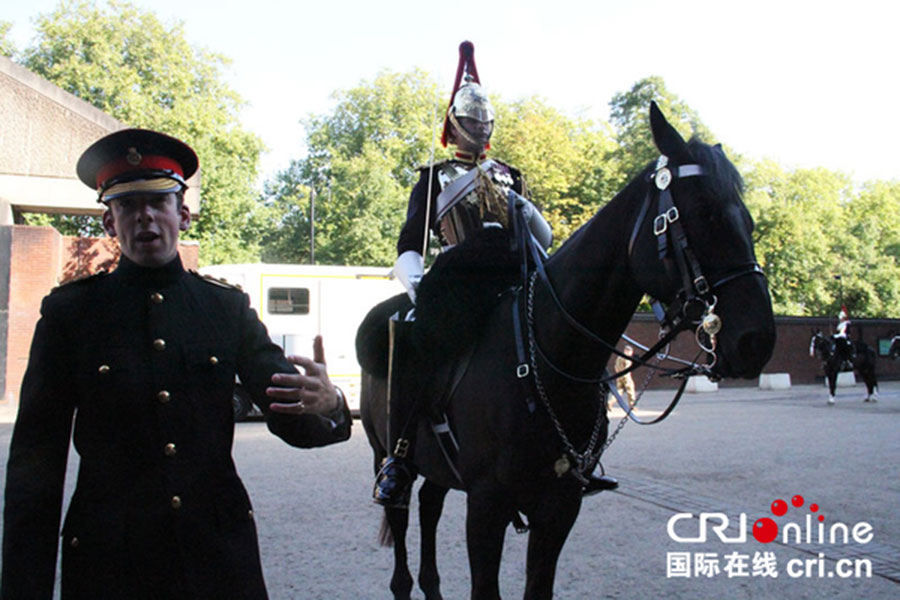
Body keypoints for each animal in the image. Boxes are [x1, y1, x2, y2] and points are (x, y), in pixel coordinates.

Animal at [358, 104, 772, 600]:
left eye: (747, 219)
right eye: (702, 212)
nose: (756, 338)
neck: (548, 357)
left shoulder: (560, 506)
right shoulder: (486, 505)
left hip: (439, 467)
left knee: (429, 506)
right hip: (385, 451)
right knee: (401, 525)